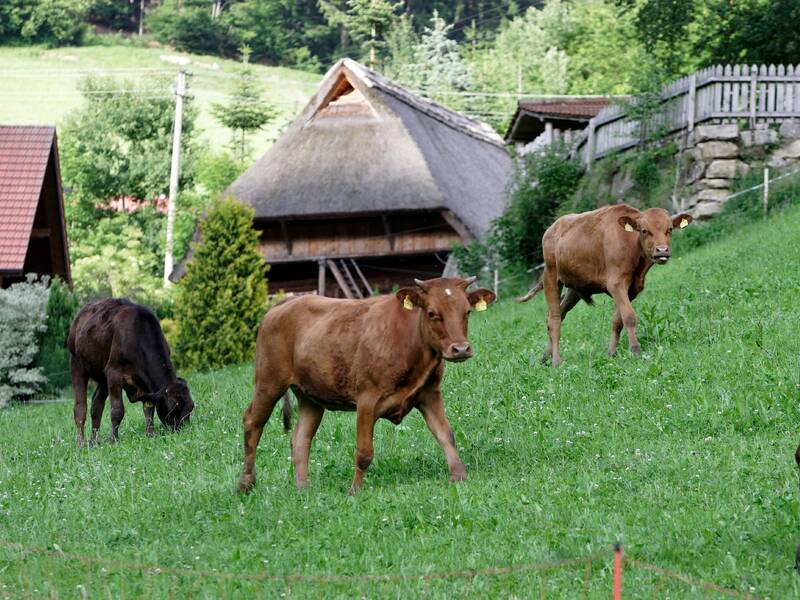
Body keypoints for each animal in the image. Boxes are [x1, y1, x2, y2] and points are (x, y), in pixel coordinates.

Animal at [68, 298, 195, 446]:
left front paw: (151, 435)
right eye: (174, 408)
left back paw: (94, 441)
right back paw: (81, 443)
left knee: (96, 405)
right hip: (77, 363)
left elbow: (149, 409)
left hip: (102, 376)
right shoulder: (114, 373)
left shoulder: (146, 385)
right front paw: (113, 440)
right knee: (80, 408)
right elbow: (117, 411)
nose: (183, 431)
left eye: (191, 407)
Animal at [237, 276, 496, 495]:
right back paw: (246, 484)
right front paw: (354, 491)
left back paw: (303, 489)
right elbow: (364, 452)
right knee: (253, 422)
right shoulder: (366, 399)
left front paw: (459, 476)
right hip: (269, 382)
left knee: (300, 438)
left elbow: (446, 435)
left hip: (310, 396)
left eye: (467, 311)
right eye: (432, 313)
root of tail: (285, 303)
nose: (460, 349)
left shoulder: (429, 394)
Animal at [517, 204, 693, 366]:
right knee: (554, 319)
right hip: (551, 276)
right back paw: (556, 361)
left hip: (573, 288)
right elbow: (629, 317)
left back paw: (546, 356)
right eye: (644, 230)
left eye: (669, 229)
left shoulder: (631, 289)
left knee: (559, 314)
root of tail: (552, 228)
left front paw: (612, 353)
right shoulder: (616, 284)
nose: (662, 250)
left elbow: (617, 321)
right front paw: (635, 350)